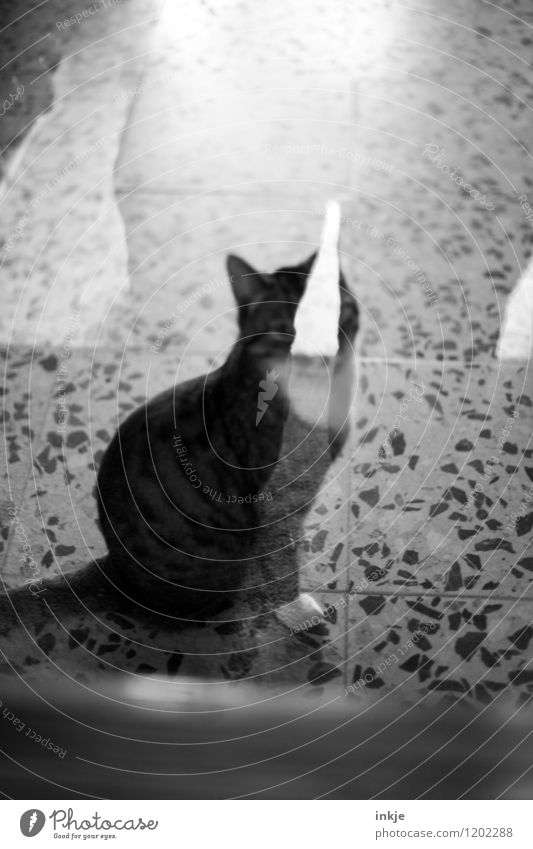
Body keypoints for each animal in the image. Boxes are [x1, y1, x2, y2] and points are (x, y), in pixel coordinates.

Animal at [96, 245, 358, 624]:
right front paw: (296, 610)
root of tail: (112, 567)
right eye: (286, 327)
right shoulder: (276, 502)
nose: (321, 352)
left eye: (337, 313)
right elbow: (281, 564)